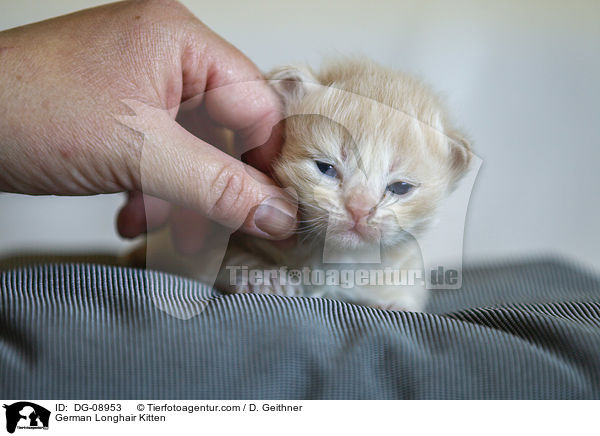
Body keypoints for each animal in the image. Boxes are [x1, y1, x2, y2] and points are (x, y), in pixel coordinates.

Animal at [212, 59, 474, 312]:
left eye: (400, 187)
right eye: (325, 167)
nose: (359, 209)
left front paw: (397, 302)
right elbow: (228, 258)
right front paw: (264, 276)